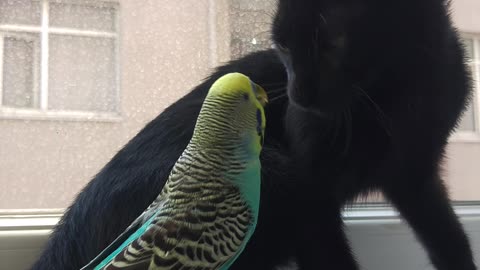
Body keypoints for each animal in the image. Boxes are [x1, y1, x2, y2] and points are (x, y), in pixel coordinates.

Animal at [31, 0, 474, 270]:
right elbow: (329, 255)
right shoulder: (311, 189)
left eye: (333, 43)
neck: (394, 98)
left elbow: (449, 236)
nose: (297, 96)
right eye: (284, 48)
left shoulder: (416, 176)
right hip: (273, 172)